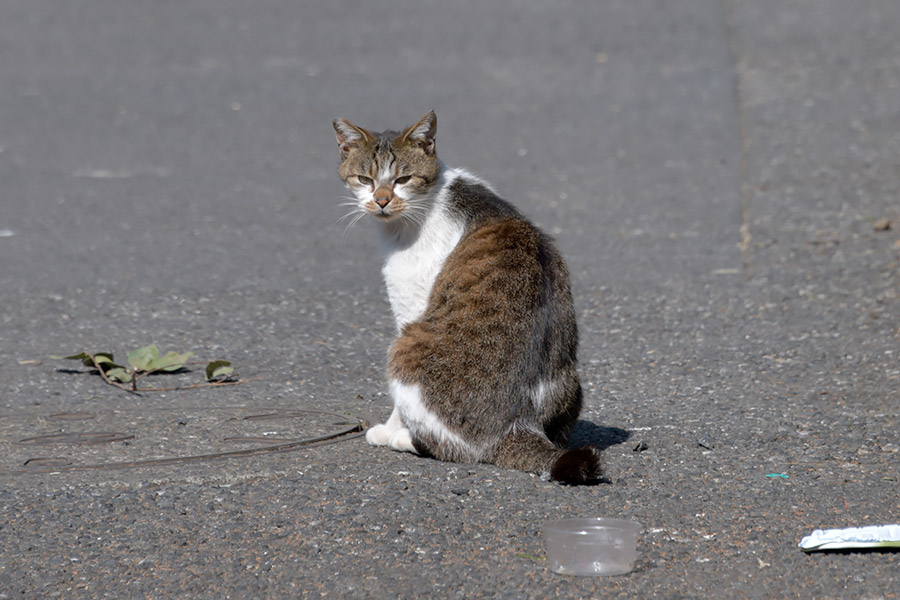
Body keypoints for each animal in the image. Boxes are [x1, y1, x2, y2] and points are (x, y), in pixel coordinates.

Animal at [334, 111, 600, 482]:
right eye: (365, 179)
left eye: (403, 179)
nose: (381, 200)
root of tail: (517, 424)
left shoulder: (410, 308)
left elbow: (398, 409)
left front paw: (388, 430)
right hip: (572, 380)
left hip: (406, 348)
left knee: (457, 449)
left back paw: (404, 439)